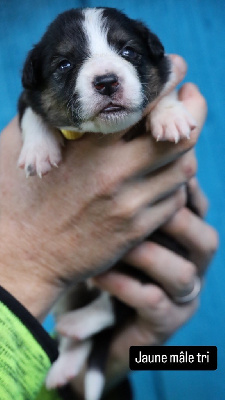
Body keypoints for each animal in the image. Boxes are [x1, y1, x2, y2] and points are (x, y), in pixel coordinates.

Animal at [17, 6, 196, 400]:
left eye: (128, 51)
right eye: (65, 64)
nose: (107, 82)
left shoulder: (163, 75)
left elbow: (162, 93)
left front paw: (170, 116)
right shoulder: (26, 96)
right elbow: (32, 112)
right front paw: (38, 150)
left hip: (160, 242)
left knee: (117, 304)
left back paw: (78, 325)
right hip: (71, 289)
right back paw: (64, 364)